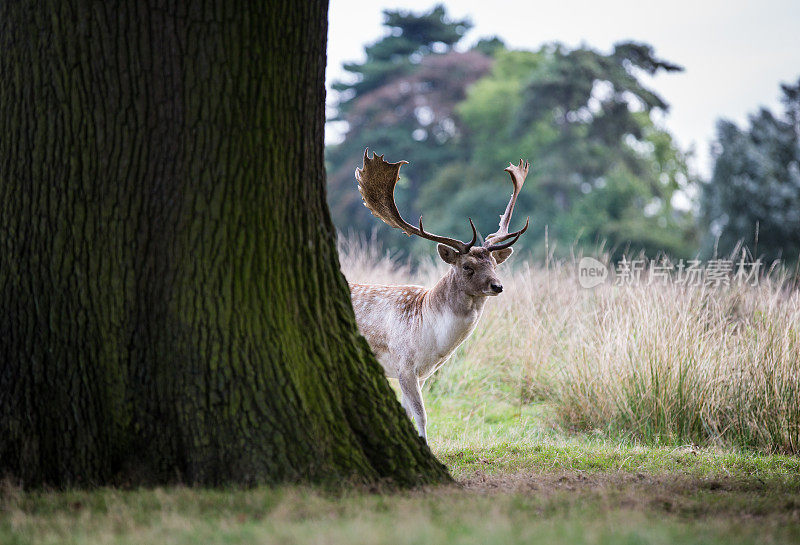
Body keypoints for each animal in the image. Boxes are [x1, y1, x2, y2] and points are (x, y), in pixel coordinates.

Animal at [348, 150, 524, 442]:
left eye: (494, 265)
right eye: (467, 266)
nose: (498, 286)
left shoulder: (421, 374)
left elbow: (408, 413)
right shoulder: (404, 365)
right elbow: (421, 415)